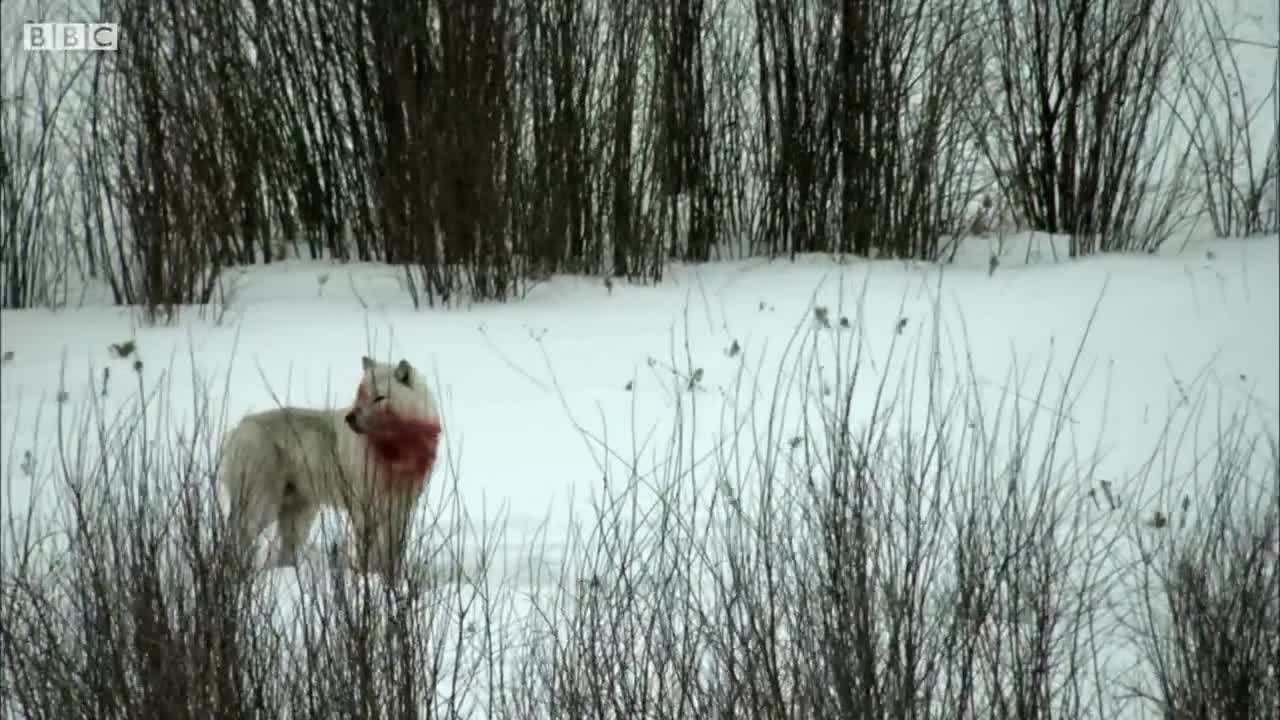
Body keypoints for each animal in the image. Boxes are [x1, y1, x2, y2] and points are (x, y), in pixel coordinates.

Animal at [217, 356, 442, 573]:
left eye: (379, 397)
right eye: (361, 395)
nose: (350, 418)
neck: (395, 449)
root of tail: (237, 429)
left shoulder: (402, 508)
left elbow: (394, 551)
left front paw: (391, 577)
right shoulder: (364, 508)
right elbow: (370, 550)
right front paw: (370, 575)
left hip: (300, 514)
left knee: (284, 550)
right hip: (264, 507)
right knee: (239, 534)